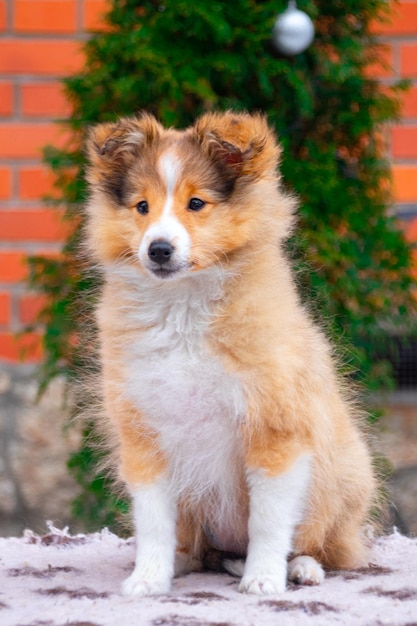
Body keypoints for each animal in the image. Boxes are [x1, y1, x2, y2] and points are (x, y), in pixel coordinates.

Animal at [83, 111, 374, 596]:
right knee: (199, 548)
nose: (158, 250)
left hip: (339, 475)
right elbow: (154, 523)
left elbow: (269, 520)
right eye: (142, 207)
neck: (183, 309)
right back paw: (186, 562)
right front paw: (147, 580)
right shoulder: (143, 434)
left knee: (325, 545)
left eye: (197, 203)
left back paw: (300, 569)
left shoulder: (276, 429)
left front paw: (263, 580)